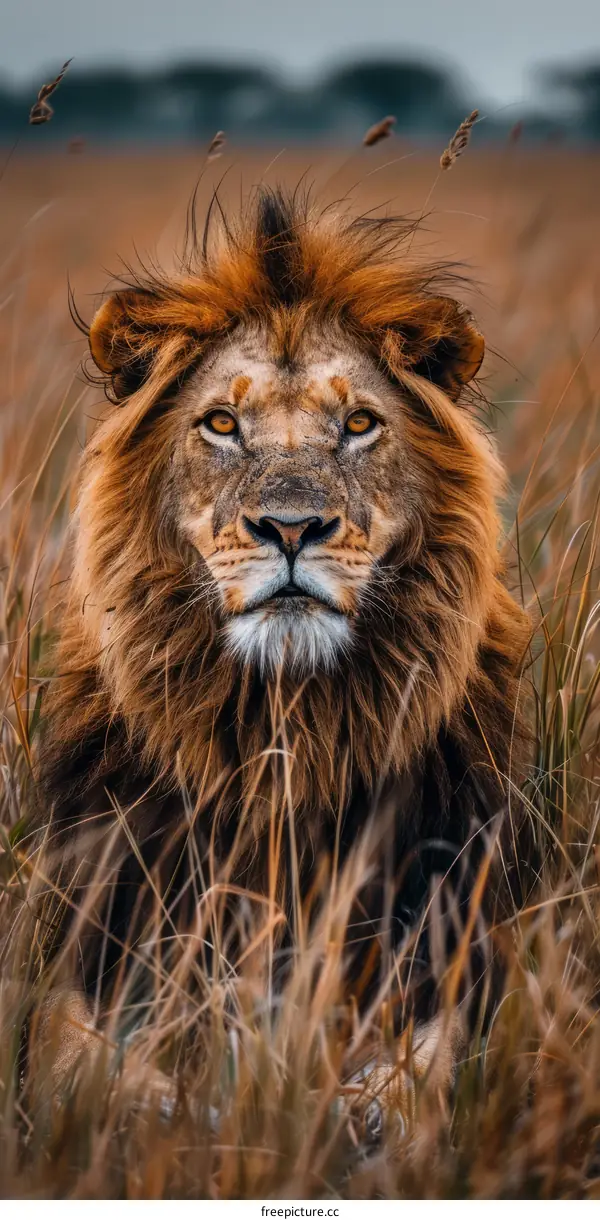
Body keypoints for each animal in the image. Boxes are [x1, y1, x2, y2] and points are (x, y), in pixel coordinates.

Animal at [24, 187, 531, 1114]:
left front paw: (352, 1110)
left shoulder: (462, 951)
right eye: (222, 423)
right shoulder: (85, 952)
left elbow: (427, 1072)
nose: (292, 529)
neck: (287, 732)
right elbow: (82, 1064)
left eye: (359, 423)